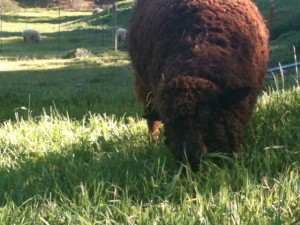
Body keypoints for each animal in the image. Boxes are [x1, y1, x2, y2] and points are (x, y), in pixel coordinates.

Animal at [127, 0, 270, 171]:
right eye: (169, 121)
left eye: (204, 113)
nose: (187, 161)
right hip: (144, 87)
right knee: (151, 119)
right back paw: (152, 143)